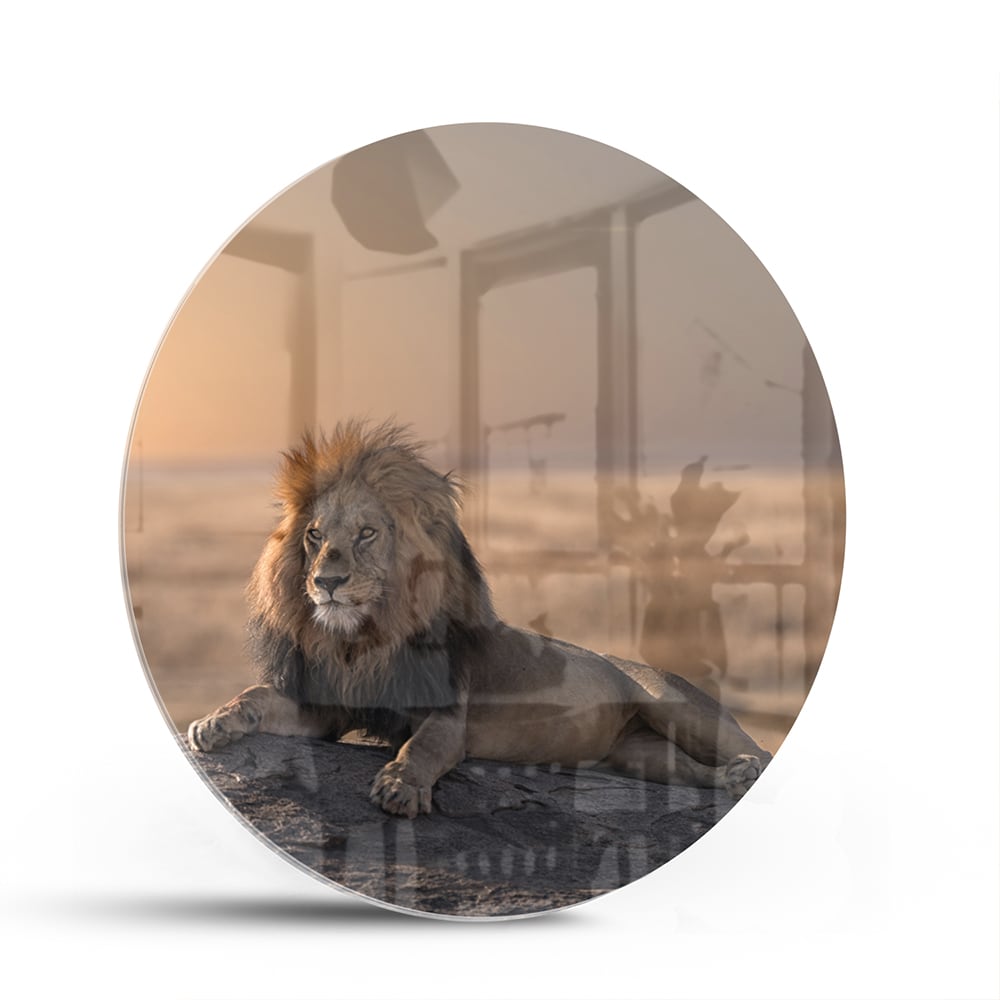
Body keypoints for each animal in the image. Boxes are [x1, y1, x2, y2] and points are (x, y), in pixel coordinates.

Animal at [188, 420, 771, 818]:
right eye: (314, 535)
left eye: (367, 533)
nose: (327, 582)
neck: (365, 639)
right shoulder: (327, 709)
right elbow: (258, 697)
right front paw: (214, 722)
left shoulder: (448, 717)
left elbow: (420, 747)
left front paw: (400, 786)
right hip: (639, 754)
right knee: (691, 772)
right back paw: (733, 779)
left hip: (674, 704)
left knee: (750, 745)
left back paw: (750, 768)